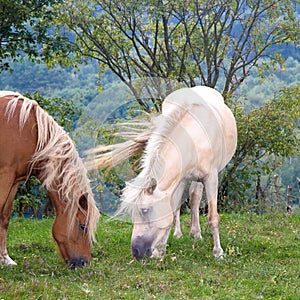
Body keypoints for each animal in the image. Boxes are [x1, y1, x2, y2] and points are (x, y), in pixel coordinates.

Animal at [0, 91, 101, 268]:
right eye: (83, 226)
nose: (84, 263)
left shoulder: (14, 180)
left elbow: (4, 216)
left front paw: (5, 259)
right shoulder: (5, 174)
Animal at [88, 85, 237, 258]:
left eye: (145, 210)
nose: (136, 251)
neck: (195, 137)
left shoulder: (211, 178)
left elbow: (213, 217)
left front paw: (218, 252)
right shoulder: (180, 179)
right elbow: (172, 212)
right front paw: (160, 251)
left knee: (195, 198)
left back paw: (196, 234)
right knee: (188, 201)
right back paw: (182, 233)